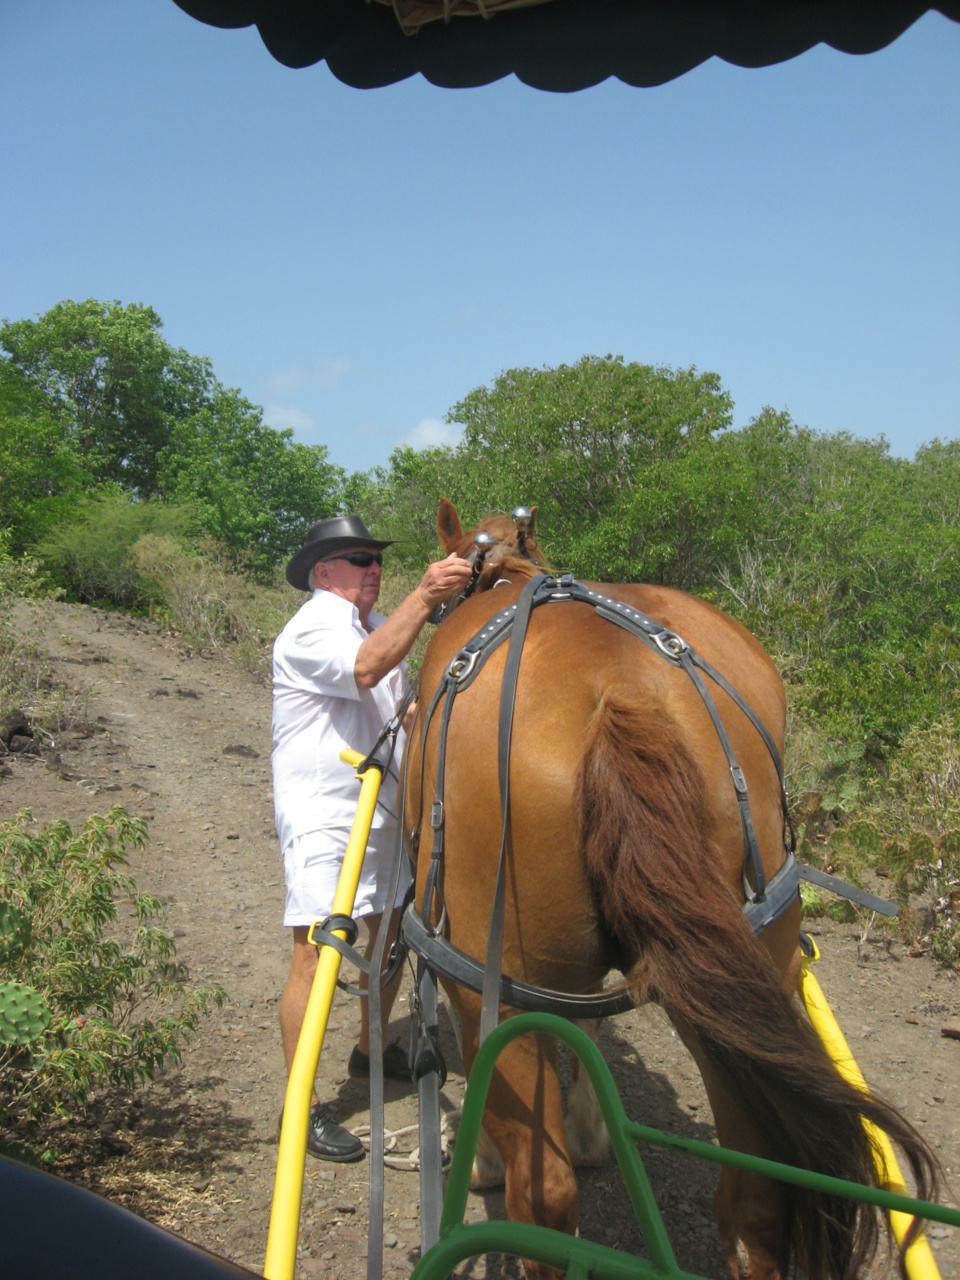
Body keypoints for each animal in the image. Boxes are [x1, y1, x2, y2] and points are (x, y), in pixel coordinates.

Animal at [402, 499, 936, 1280]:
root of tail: (621, 694)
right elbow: (590, 1025)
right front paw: (594, 1131)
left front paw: (494, 1161)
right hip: (744, 971)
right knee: (753, 1200)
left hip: (492, 978)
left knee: (545, 1199)